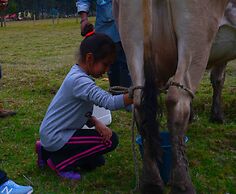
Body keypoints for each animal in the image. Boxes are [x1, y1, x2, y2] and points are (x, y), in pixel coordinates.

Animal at [113, 0, 228, 194]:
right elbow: (218, 78)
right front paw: (217, 116)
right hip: (196, 36)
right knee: (177, 100)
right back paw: (182, 184)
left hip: (131, 39)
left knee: (139, 102)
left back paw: (151, 182)